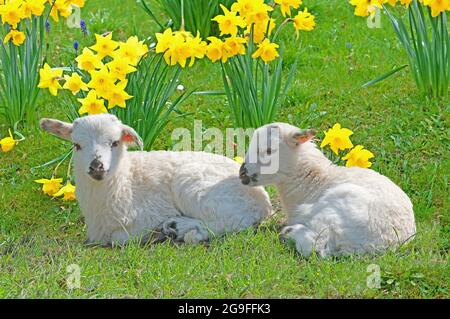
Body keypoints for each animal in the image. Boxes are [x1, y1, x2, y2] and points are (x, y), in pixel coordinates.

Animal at [40, 114, 270, 246]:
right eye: (76, 145)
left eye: (115, 142)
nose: (97, 167)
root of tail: (264, 201)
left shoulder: (151, 213)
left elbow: (117, 239)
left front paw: (153, 234)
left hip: (193, 186)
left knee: (234, 221)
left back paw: (185, 231)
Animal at [241, 122, 416, 258]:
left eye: (269, 151)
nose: (242, 173)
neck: (311, 180)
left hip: (334, 213)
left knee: (316, 246)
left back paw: (288, 232)